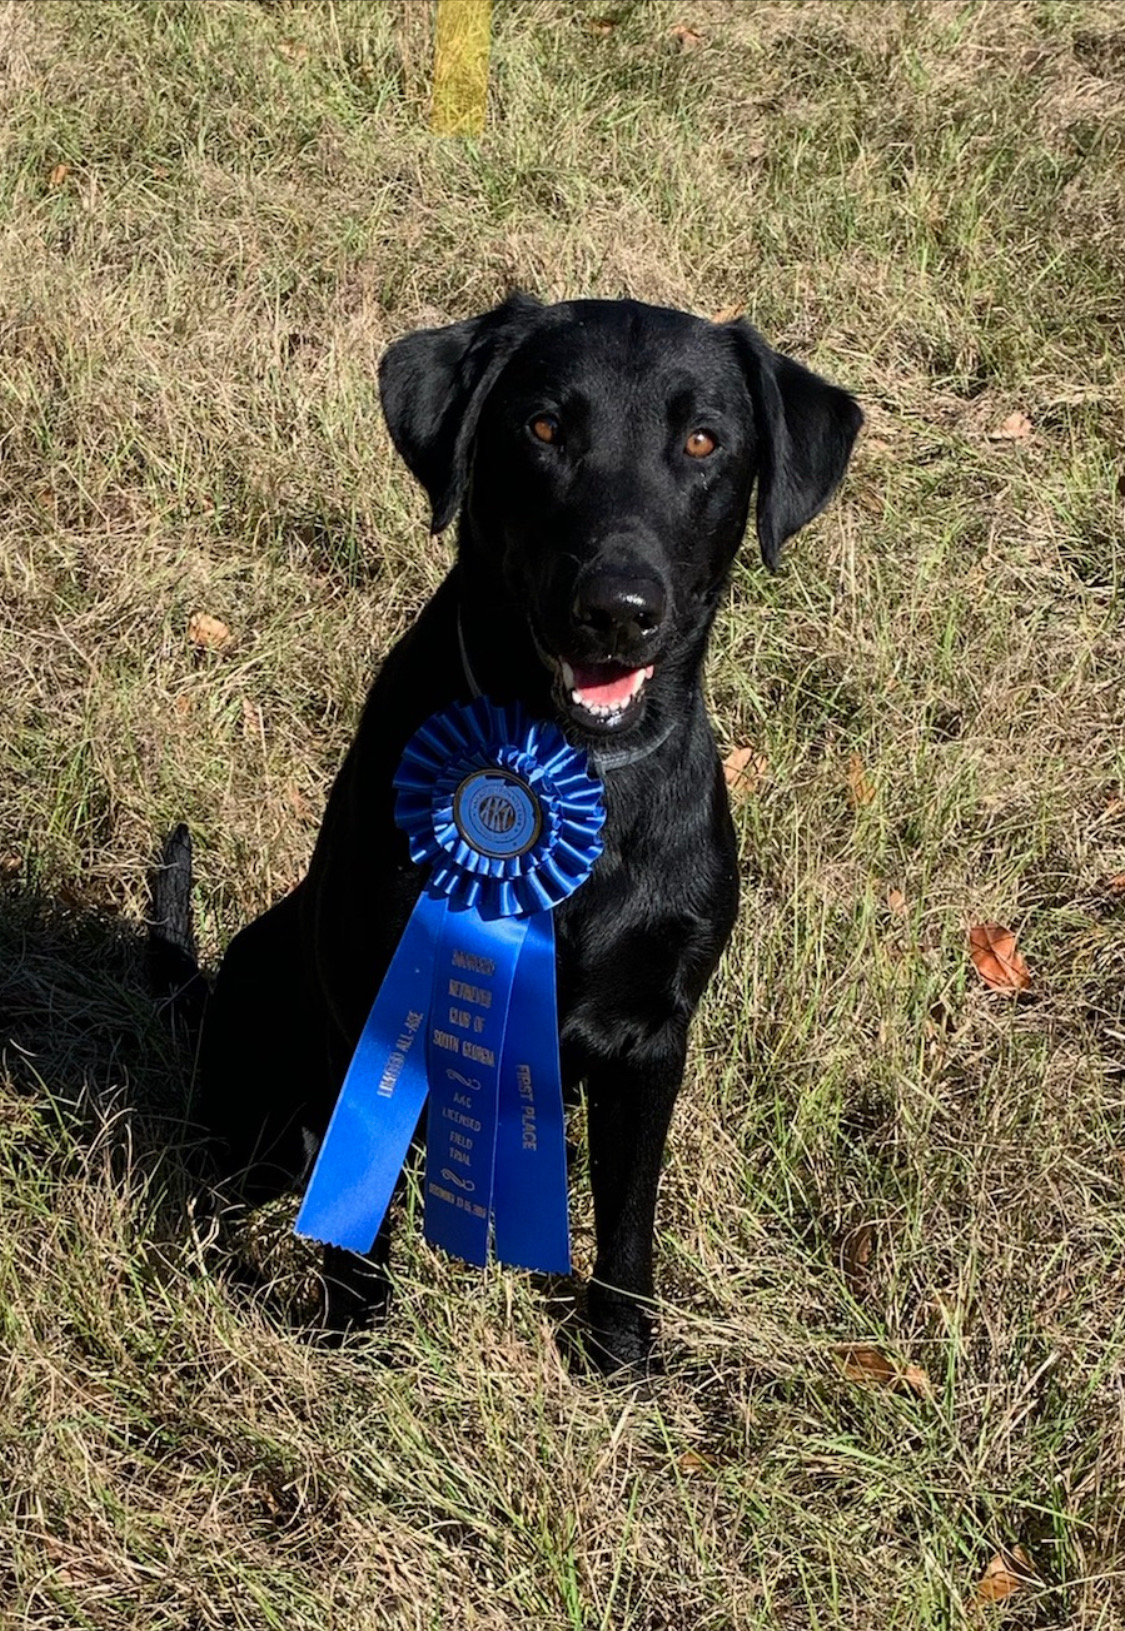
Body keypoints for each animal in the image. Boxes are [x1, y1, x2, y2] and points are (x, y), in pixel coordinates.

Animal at [155, 300, 860, 1370]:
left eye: (703, 441)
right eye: (542, 427)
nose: (617, 609)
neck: (568, 765)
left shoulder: (654, 1031)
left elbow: (627, 1213)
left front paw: (619, 1350)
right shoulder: (381, 996)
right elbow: (364, 1198)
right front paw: (356, 1331)